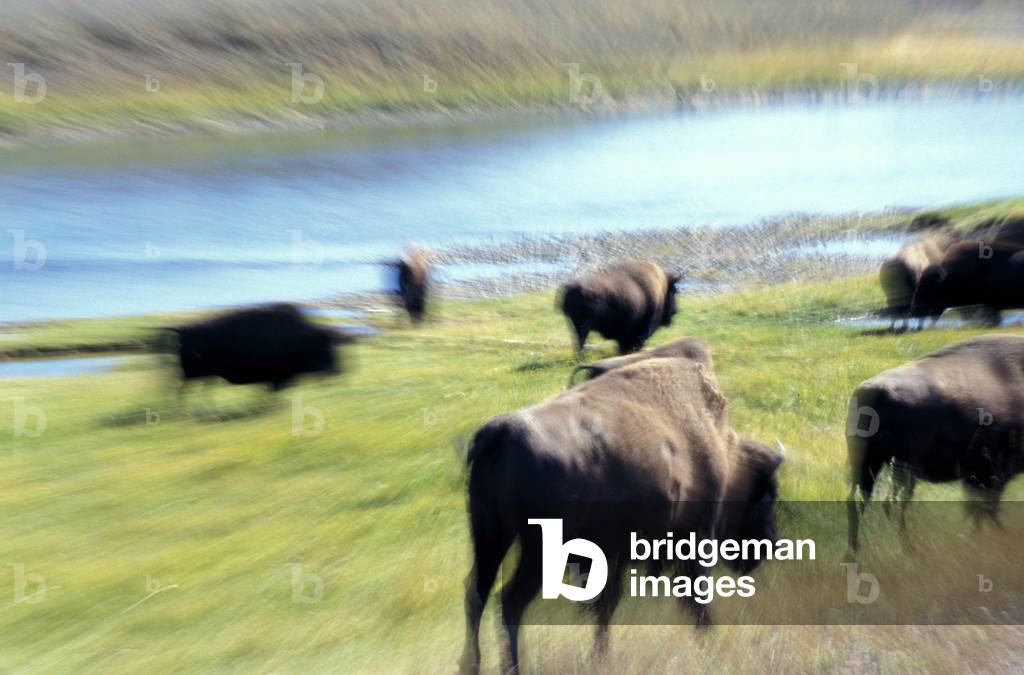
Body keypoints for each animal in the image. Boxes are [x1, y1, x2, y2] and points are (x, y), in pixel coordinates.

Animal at [169, 303, 344, 393]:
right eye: (323, 347)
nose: (337, 370)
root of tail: (183, 330)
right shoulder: (278, 377)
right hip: (192, 375)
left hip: (202, 376)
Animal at [460, 351, 783, 674]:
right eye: (767, 496)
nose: (770, 544)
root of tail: (500, 431)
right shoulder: (694, 535)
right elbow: (695, 595)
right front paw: (710, 645)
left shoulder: (614, 551)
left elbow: (607, 603)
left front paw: (600, 657)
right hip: (538, 549)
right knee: (510, 600)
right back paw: (511, 667)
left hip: (489, 535)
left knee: (476, 592)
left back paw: (470, 665)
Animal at [846, 335, 1024, 555]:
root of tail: (871, 390)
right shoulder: (991, 473)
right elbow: (985, 507)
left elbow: (978, 508)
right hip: (897, 468)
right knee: (892, 504)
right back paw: (908, 549)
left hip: (873, 464)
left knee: (865, 502)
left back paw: (858, 552)